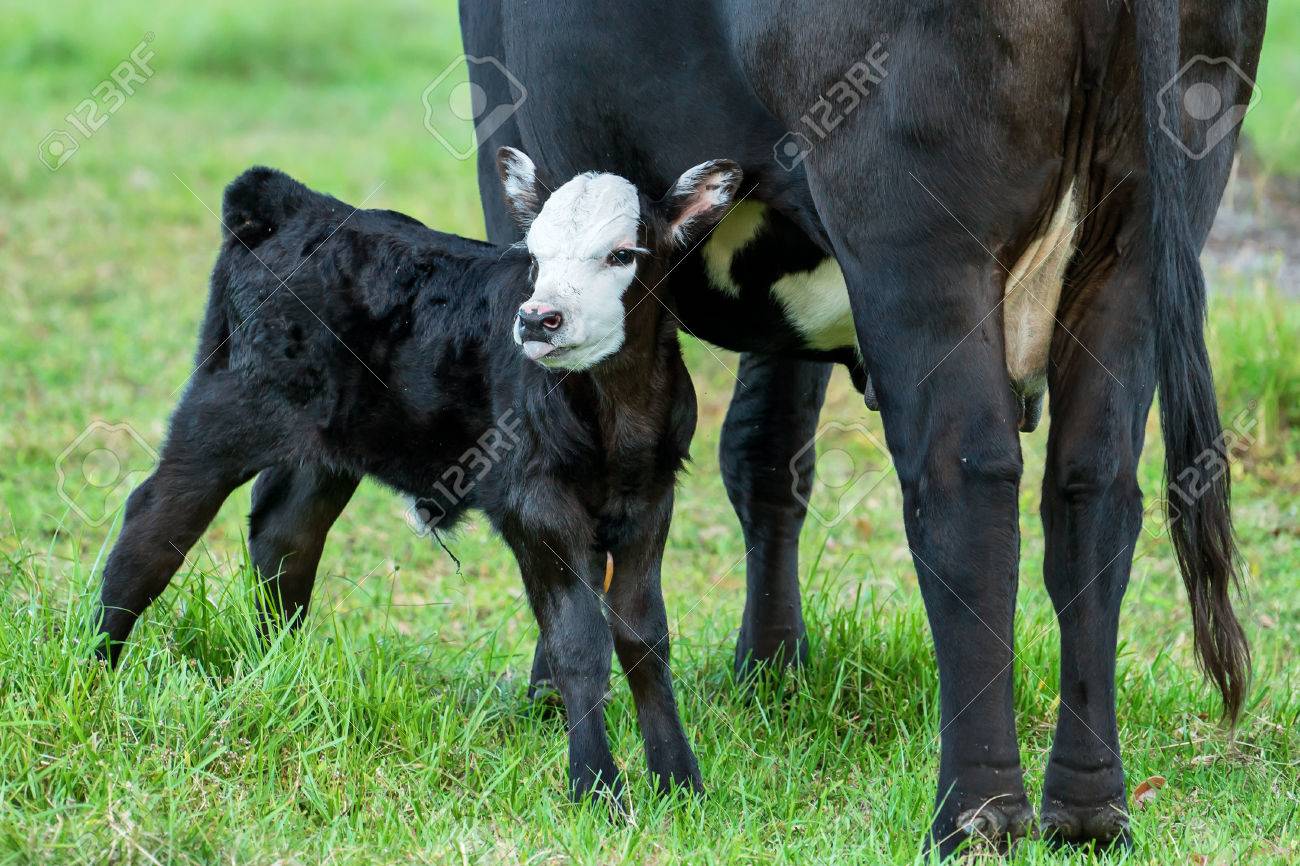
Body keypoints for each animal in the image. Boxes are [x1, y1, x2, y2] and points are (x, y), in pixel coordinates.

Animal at [92, 155, 746, 802]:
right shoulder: (535, 505)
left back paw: (276, 674)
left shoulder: (651, 501)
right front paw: (596, 789)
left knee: (285, 537)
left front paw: (680, 783)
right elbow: (579, 642)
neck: (616, 412)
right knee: (155, 524)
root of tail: (292, 205)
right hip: (225, 407)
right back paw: (99, 670)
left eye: (622, 254)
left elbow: (643, 639)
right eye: (533, 257)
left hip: (324, 451)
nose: (538, 320)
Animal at [255, 0, 1267, 854]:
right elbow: (764, 452)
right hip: (1138, 236)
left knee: (964, 485)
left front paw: (554, 690)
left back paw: (975, 816)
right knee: (1093, 490)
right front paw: (772, 670)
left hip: (913, 236)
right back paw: (1089, 813)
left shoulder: (513, 132)